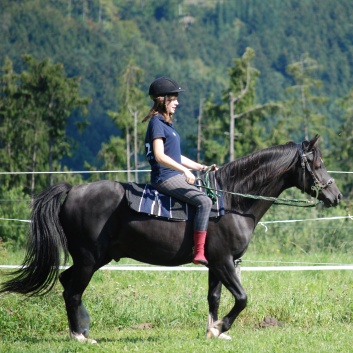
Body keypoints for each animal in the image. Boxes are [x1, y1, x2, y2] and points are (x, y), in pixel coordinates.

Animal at [0, 135, 340, 340]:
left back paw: (81, 326)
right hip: (88, 259)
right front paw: (221, 327)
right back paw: (80, 336)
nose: (335, 196)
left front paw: (213, 331)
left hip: (93, 259)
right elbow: (242, 298)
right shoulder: (224, 262)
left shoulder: (217, 264)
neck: (230, 200)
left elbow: (215, 298)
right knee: (71, 290)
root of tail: (72, 192)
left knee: (66, 282)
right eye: (317, 164)